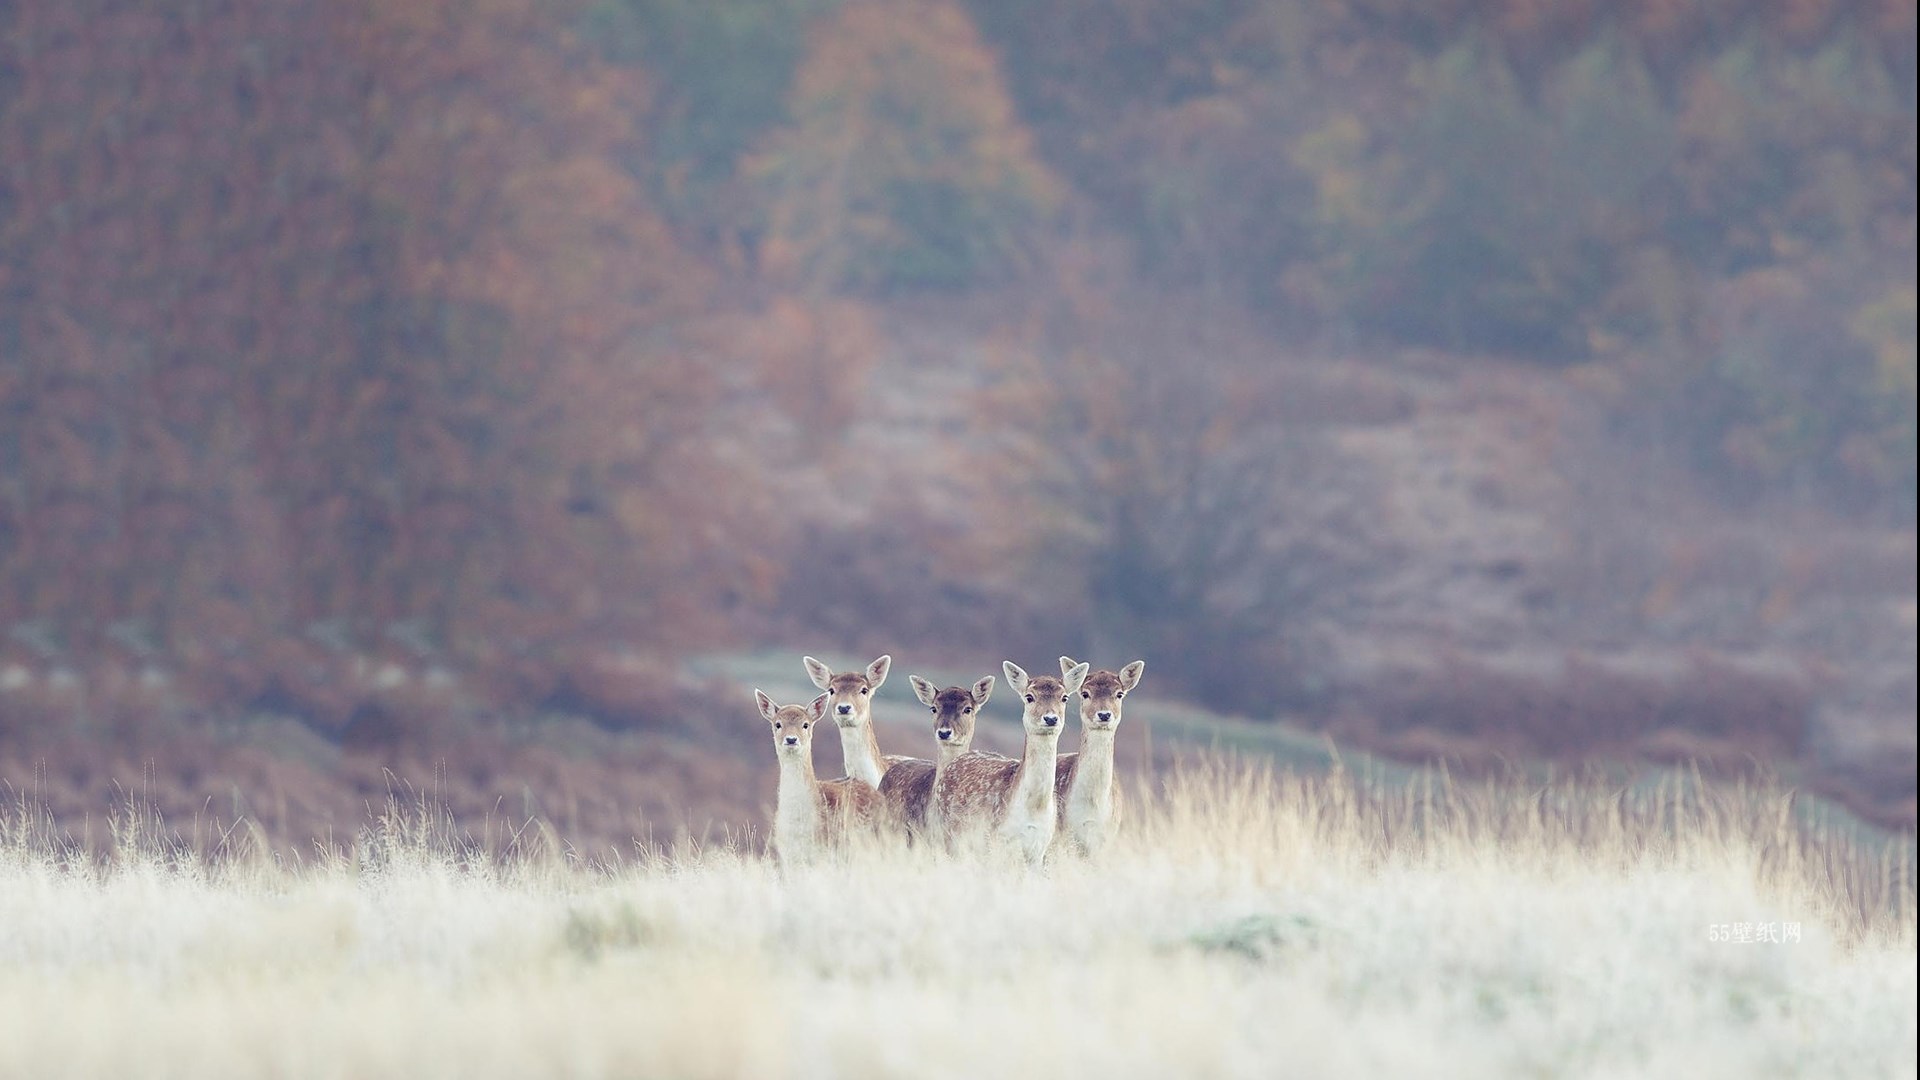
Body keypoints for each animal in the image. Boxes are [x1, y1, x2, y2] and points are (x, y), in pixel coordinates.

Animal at [933, 657, 1090, 864]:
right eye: (1029, 697)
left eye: (1064, 697)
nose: (1050, 718)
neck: (1034, 808)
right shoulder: (997, 839)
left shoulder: (1040, 847)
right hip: (949, 834)